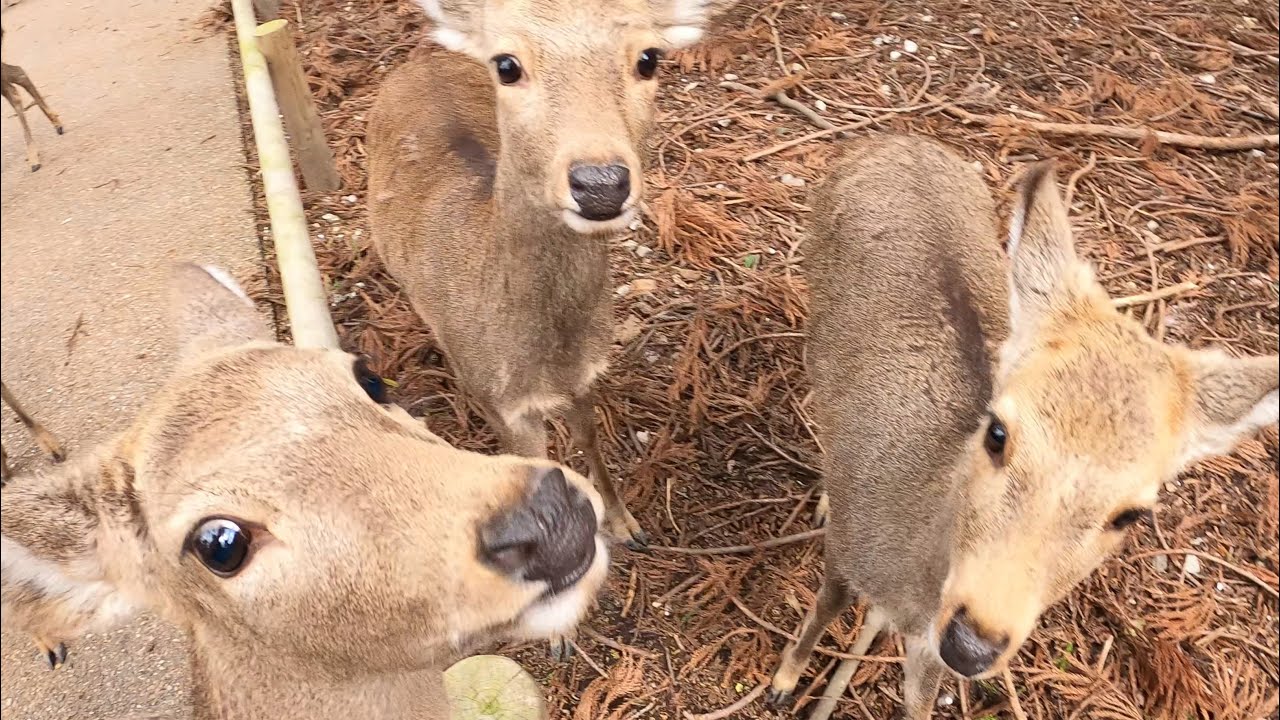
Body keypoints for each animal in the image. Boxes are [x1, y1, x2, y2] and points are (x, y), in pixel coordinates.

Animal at [367, 0, 735, 557]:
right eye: (507, 64)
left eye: (648, 58)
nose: (600, 183)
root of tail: (419, 61)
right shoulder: (506, 405)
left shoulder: (587, 372)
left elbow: (588, 437)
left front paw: (626, 524)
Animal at [766, 135, 1279, 720]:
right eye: (997, 432)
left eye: (1132, 514)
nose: (972, 645)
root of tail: (897, 139)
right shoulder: (848, 550)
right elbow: (824, 607)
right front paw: (782, 681)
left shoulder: (926, 646)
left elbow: (919, 702)